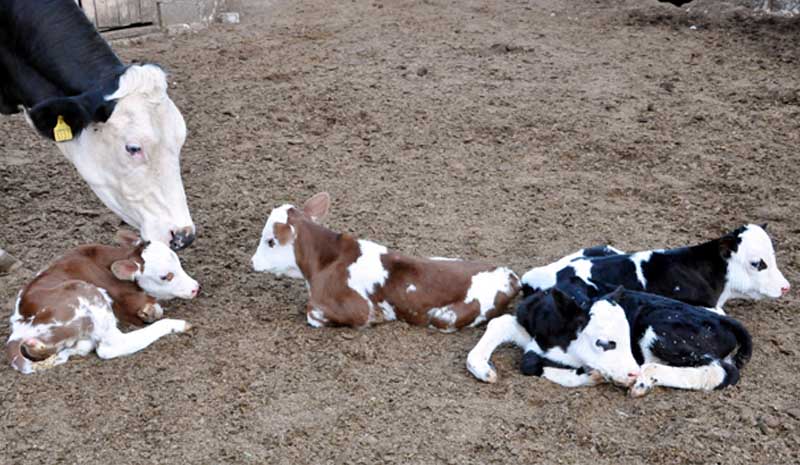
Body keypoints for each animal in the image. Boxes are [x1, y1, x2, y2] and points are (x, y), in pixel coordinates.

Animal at [7, 232, 200, 374]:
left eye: (179, 264)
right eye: (166, 276)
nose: (195, 288)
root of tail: (17, 331)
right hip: (88, 295)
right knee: (110, 347)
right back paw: (178, 324)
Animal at [253, 192, 520, 330]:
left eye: (270, 241)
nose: (252, 262)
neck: (324, 263)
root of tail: (510, 275)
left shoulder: (359, 308)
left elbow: (313, 313)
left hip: (445, 316)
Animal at [466, 280, 752, 396]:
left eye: (626, 338)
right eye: (604, 342)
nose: (632, 372)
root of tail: (725, 321)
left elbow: (530, 364)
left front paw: (593, 375)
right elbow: (500, 325)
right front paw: (482, 368)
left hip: (662, 332)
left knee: (722, 371)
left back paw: (645, 379)